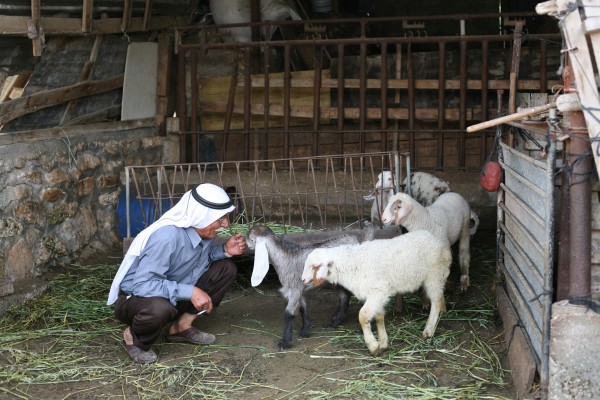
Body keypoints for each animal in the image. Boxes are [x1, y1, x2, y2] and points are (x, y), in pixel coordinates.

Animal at [304, 231, 450, 356]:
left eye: (315, 266)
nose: (303, 280)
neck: (352, 265)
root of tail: (436, 239)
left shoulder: (378, 290)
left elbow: (363, 316)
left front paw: (373, 346)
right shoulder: (376, 295)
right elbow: (379, 316)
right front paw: (383, 343)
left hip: (434, 275)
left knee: (436, 300)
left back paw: (429, 330)